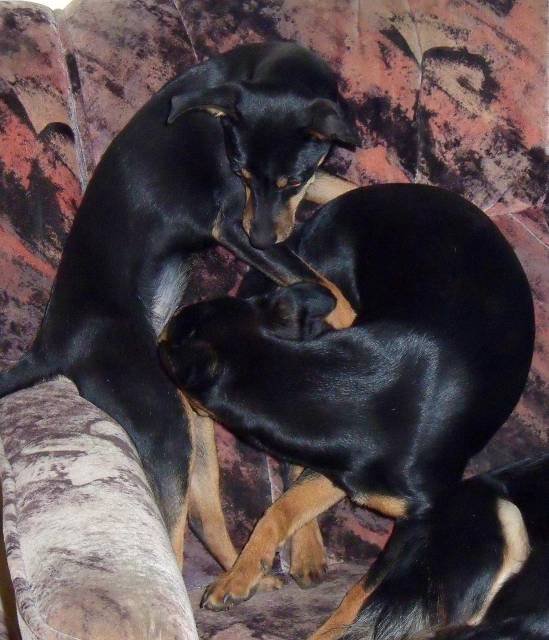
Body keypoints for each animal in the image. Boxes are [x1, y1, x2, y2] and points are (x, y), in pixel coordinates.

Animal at [0, 41, 359, 566]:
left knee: (202, 516)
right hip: (162, 414)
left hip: (192, 416)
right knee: (171, 534)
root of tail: (50, 345)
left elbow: (341, 186)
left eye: (292, 180)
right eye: (239, 171)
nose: (262, 236)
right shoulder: (230, 226)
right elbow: (328, 288)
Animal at [159, 183, 534, 633]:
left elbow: (363, 592)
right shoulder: (339, 468)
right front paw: (239, 577)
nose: (161, 323)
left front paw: (328, 630)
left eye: (164, 342)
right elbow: (280, 507)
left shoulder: (415, 519)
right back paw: (306, 552)